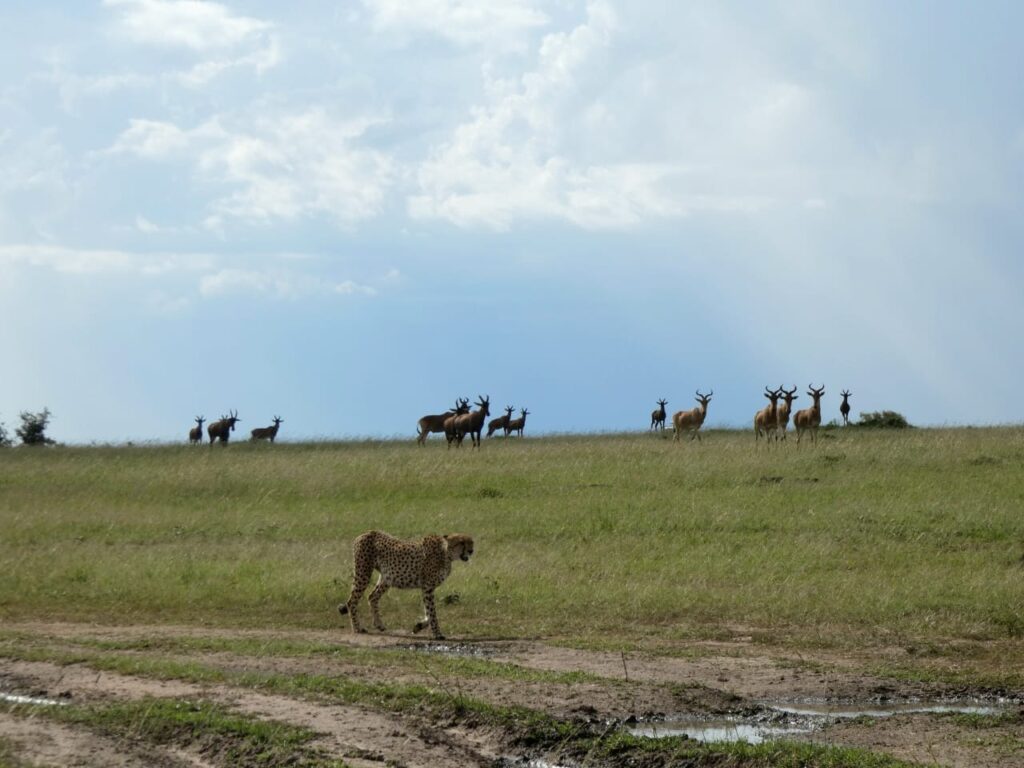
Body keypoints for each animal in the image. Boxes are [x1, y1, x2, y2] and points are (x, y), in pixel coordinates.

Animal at [339, 532, 475, 638]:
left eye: (471, 542)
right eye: (462, 542)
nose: (471, 551)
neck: (446, 553)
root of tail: (365, 533)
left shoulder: (426, 588)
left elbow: (428, 611)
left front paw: (418, 626)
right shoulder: (428, 587)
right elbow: (432, 612)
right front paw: (438, 634)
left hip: (387, 578)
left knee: (372, 597)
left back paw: (379, 625)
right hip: (363, 573)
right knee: (352, 601)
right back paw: (357, 628)